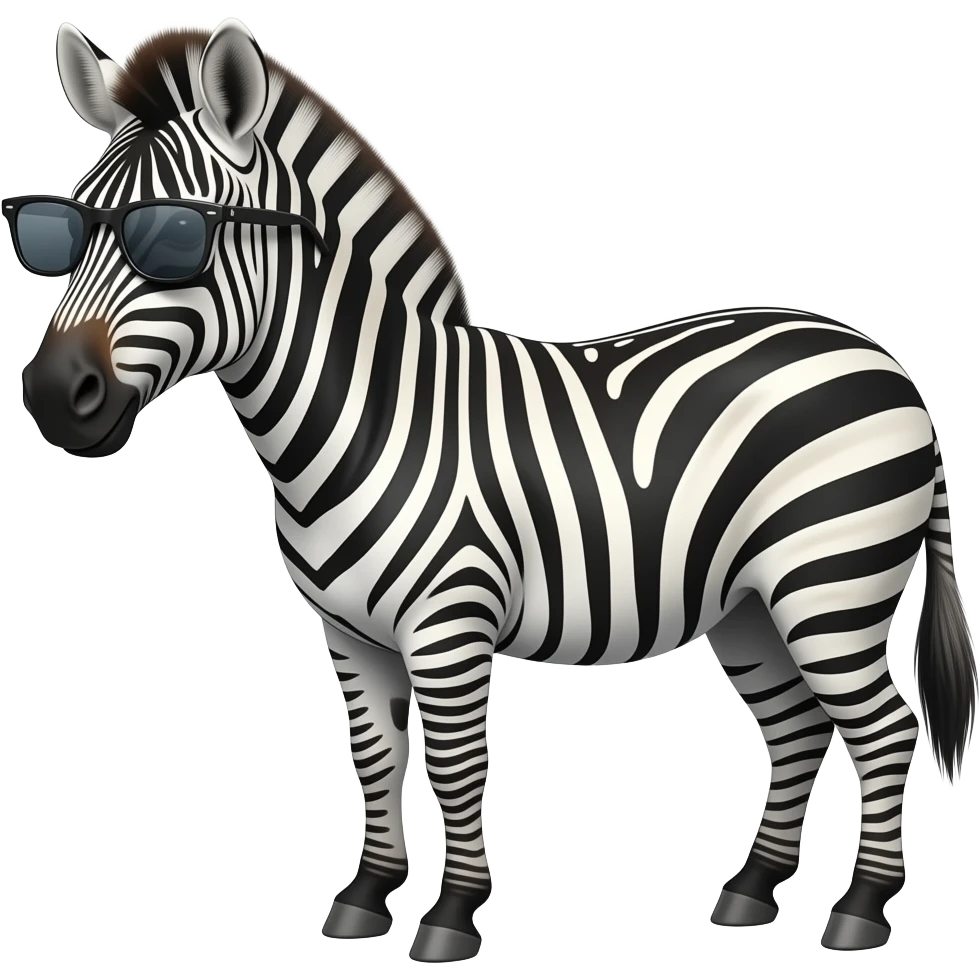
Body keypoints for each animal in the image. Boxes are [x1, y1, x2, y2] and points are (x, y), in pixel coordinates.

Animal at [7, 18, 976, 963]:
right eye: (61, 233)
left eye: (171, 236)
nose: (51, 396)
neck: (370, 415)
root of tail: (886, 362)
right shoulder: (348, 635)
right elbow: (375, 755)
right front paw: (364, 897)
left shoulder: (451, 621)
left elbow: (457, 761)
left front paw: (450, 915)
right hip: (749, 604)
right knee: (797, 728)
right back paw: (748, 892)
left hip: (831, 583)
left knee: (884, 728)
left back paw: (860, 911)